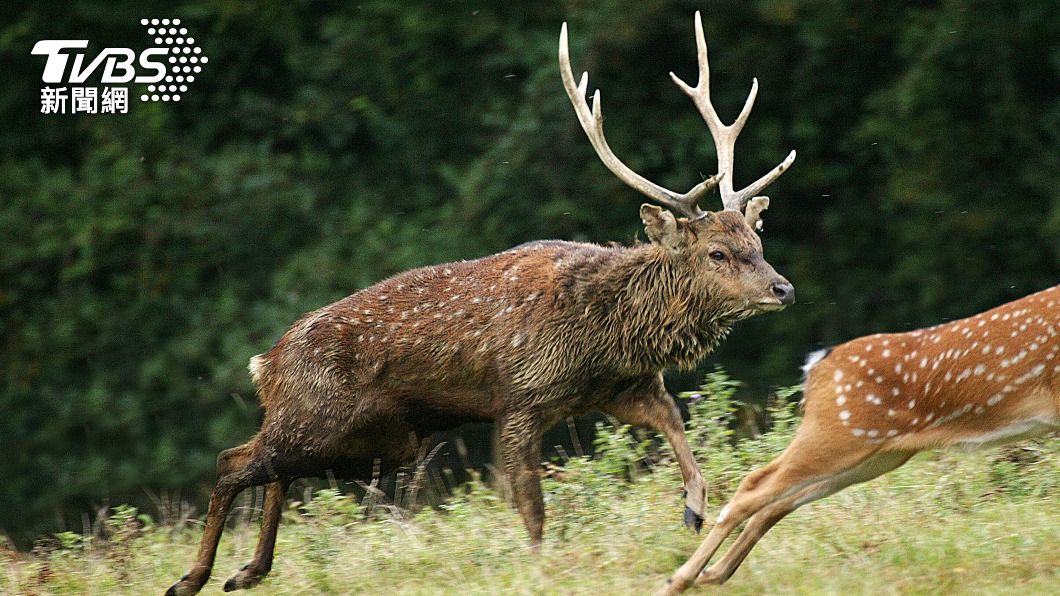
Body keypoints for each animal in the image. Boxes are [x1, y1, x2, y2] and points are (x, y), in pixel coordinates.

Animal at [167, 13, 797, 593]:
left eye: (758, 243)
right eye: (718, 252)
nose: (783, 288)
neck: (601, 333)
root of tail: (266, 363)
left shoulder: (622, 387)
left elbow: (678, 429)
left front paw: (693, 507)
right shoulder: (519, 398)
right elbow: (533, 509)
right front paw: (539, 571)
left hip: (373, 439)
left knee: (272, 469)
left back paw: (247, 571)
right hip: (324, 415)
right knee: (233, 463)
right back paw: (193, 578)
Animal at [661, 282, 1060, 589]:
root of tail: (819, 364)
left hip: (874, 452)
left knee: (775, 501)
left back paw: (709, 575)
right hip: (838, 432)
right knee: (753, 487)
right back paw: (679, 579)